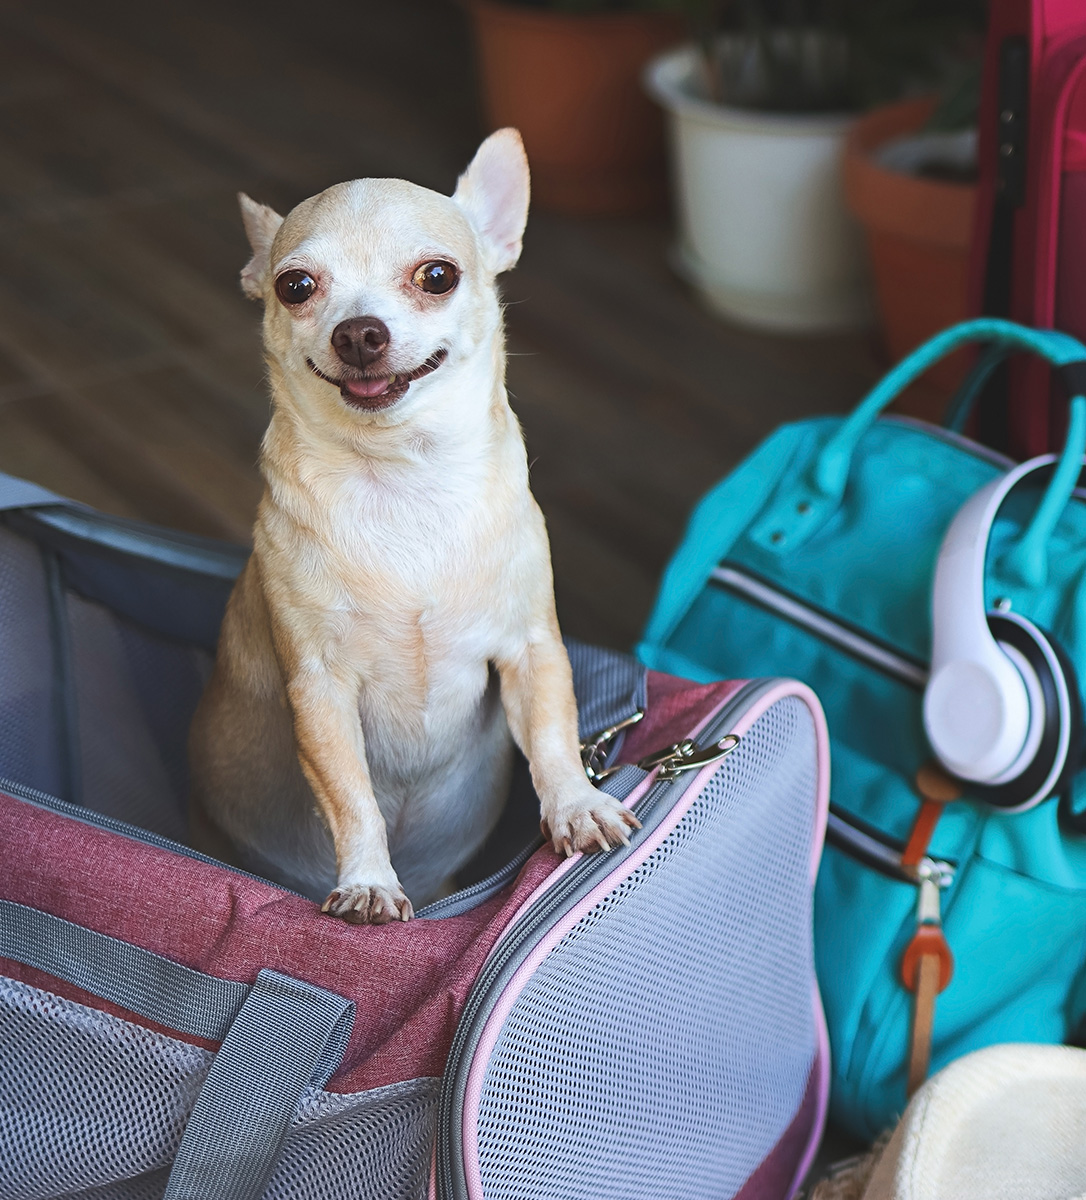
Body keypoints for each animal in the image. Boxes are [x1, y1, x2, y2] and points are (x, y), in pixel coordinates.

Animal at [188, 129, 633, 916]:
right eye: (295, 287)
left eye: (437, 276)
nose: (359, 333)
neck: (404, 479)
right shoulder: (320, 690)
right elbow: (352, 795)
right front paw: (367, 880)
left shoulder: (531, 650)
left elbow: (554, 736)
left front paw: (577, 805)